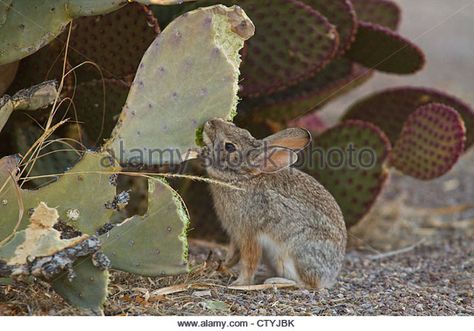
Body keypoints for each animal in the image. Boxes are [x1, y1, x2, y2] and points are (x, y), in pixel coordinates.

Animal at [200, 118, 348, 288]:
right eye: (241, 129)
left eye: (229, 146)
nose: (210, 122)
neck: (242, 178)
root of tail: (330, 277)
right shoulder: (235, 234)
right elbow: (233, 255)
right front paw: (221, 267)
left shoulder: (249, 234)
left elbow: (249, 261)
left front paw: (239, 283)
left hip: (293, 254)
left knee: (308, 284)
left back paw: (273, 281)